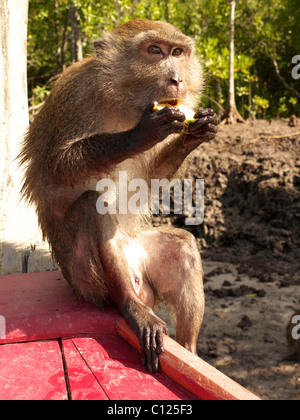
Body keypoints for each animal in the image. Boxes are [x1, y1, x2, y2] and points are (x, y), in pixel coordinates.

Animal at [20, 19, 218, 372]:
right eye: (154, 50)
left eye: (177, 52)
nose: (177, 79)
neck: (122, 101)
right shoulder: (74, 97)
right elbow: (56, 167)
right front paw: (136, 136)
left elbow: (151, 177)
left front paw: (195, 133)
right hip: (85, 280)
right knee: (91, 205)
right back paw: (131, 307)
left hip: (138, 252)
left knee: (181, 244)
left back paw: (189, 351)